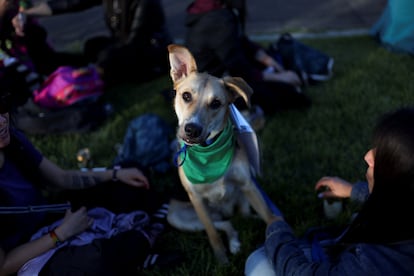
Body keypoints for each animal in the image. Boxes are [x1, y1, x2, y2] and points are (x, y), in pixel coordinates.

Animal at [165, 44, 274, 264]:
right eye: (186, 96)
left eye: (216, 103)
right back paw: (232, 242)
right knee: (224, 224)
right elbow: (212, 233)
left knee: (242, 216)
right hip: (177, 216)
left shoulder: (248, 184)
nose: (192, 129)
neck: (208, 153)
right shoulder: (197, 200)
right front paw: (221, 260)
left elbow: (268, 215)